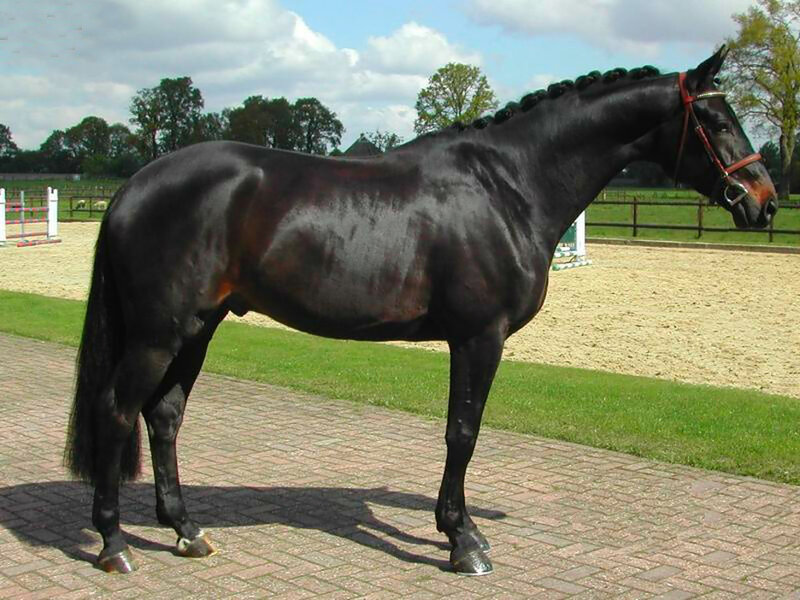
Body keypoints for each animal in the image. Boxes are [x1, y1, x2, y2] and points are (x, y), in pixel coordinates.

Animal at [64, 46, 777, 575]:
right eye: (717, 121)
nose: (764, 202)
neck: (508, 185)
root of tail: (132, 187)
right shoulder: (479, 337)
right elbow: (463, 433)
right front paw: (463, 542)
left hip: (197, 327)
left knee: (163, 416)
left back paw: (186, 531)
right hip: (159, 333)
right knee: (118, 410)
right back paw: (114, 545)